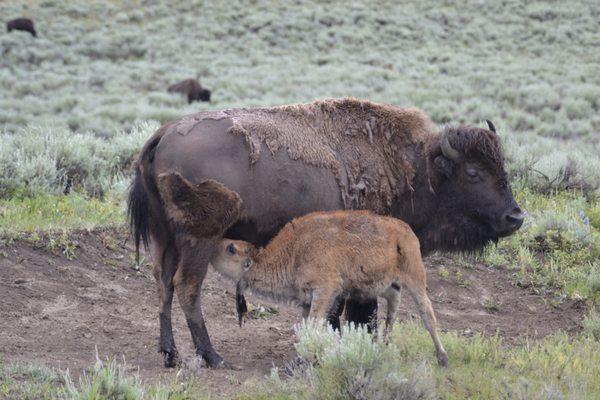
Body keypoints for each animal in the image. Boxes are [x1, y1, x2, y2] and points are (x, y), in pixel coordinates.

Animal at [213, 211, 448, 368]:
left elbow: (314, 325)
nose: (217, 240)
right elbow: (307, 327)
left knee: (426, 313)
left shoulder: (325, 291)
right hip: (383, 284)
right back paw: (384, 343)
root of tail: (406, 230)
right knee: (393, 302)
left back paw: (442, 357)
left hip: (415, 278)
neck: (295, 250)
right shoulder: (307, 300)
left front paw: (306, 360)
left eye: (231, 248)